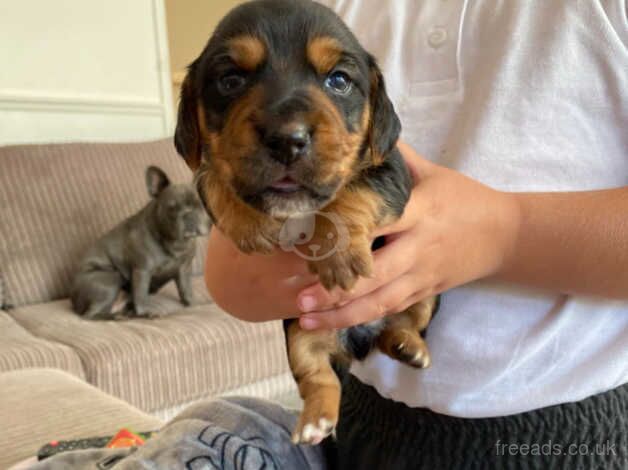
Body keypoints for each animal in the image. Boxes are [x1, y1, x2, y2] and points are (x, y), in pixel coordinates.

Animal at [70, 165, 210, 320]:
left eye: (201, 205)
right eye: (172, 208)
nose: (189, 215)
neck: (175, 241)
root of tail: (74, 301)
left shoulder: (184, 269)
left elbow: (186, 289)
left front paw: (192, 303)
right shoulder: (142, 271)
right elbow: (141, 295)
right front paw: (146, 312)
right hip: (110, 279)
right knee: (90, 315)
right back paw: (118, 317)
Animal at [174, 0, 440, 446]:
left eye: (339, 80)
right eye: (230, 81)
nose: (287, 139)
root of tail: (355, 345)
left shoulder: (392, 170)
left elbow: (355, 191)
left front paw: (339, 255)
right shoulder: (210, 174)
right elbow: (213, 179)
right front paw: (249, 223)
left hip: (428, 293)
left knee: (405, 322)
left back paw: (409, 347)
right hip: (300, 330)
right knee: (319, 377)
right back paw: (315, 422)